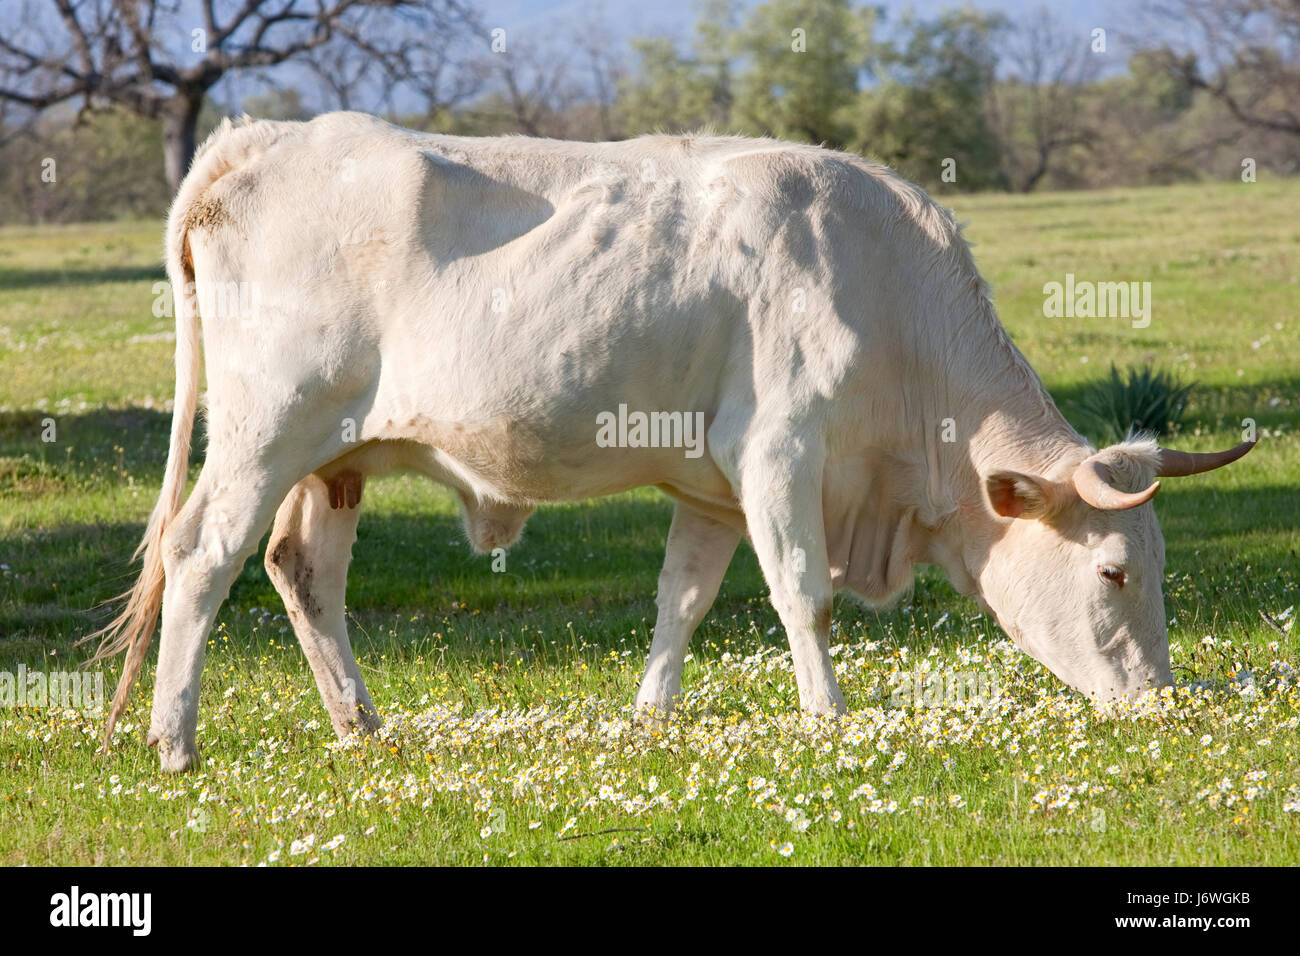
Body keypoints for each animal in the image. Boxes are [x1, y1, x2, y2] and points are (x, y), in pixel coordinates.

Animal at [91, 111, 1248, 770]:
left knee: (301, 570)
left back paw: (361, 726)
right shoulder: (780, 449)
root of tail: (261, 133)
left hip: (332, 458)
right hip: (263, 431)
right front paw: (830, 717)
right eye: (1112, 570)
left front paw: (651, 716)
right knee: (201, 554)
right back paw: (174, 740)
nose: (1160, 701)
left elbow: (681, 597)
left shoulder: (711, 487)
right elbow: (801, 592)